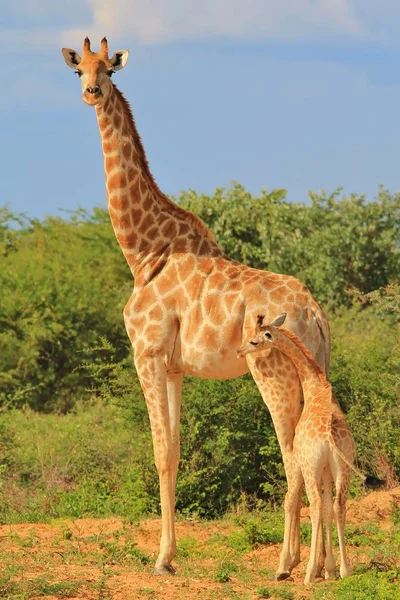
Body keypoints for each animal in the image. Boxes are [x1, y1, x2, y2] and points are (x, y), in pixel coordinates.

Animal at [61, 37, 332, 576]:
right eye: (79, 69)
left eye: (108, 69)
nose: (92, 92)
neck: (145, 251)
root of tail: (314, 313)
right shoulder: (173, 366)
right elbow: (176, 451)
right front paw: (170, 554)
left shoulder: (145, 354)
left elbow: (160, 451)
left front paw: (161, 559)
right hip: (317, 373)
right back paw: (317, 564)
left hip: (273, 373)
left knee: (292, 452)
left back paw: (288, 564)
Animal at [238, 316, 368, 584]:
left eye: (254, 340)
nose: (240, 350)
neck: (314, 386)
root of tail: (328, 436)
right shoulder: (328, 470)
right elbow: (330, 509)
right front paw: (330, 569)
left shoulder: (314, 467)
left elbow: (316, 507)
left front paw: (318, 569)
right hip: (343, 469)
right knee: (339, 505)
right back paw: (346, 570)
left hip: (310, 468)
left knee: (315, 505)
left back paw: (308, 574)